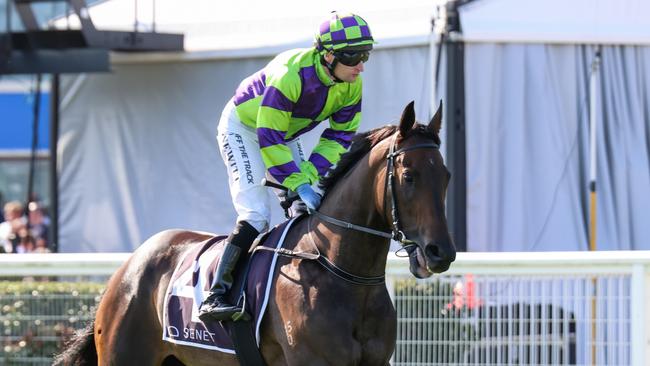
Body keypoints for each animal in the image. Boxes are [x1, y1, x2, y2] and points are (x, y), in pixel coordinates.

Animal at [54, 101, 450, 366]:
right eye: (408, 176)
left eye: (445, 176)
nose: (440, 252)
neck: (343, 272)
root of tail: (128, 267)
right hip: (125, 356)